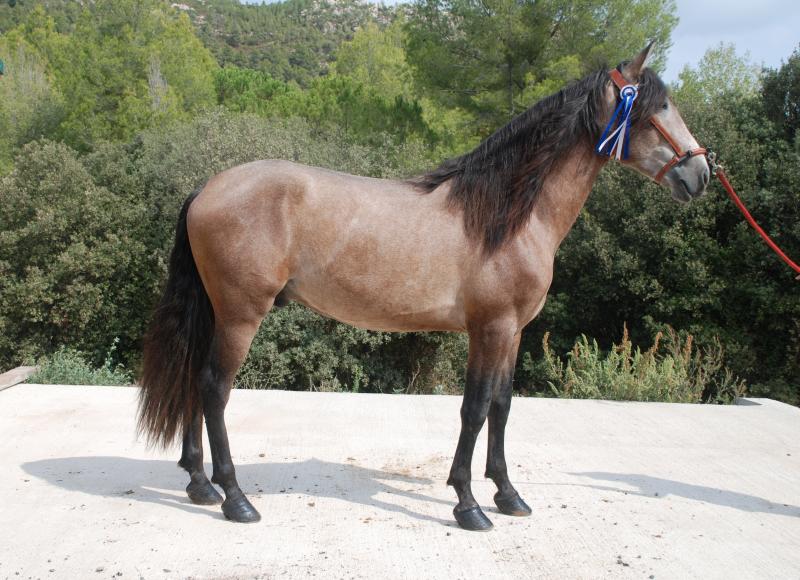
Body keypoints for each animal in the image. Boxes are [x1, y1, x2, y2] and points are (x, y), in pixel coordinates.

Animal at [138, 44, 710, 531]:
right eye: (654, 111)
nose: (701, 174)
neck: (503, 216)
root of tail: (208, 188)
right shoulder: (489, 329)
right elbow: (474, 410)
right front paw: (468, 504)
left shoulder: (513, 332)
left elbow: (502, 406)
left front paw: (508, 495)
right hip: (241, 314)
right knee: (214, 387)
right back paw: (235, 499)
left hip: (218, 312)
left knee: (193, 381)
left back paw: (200, 485)